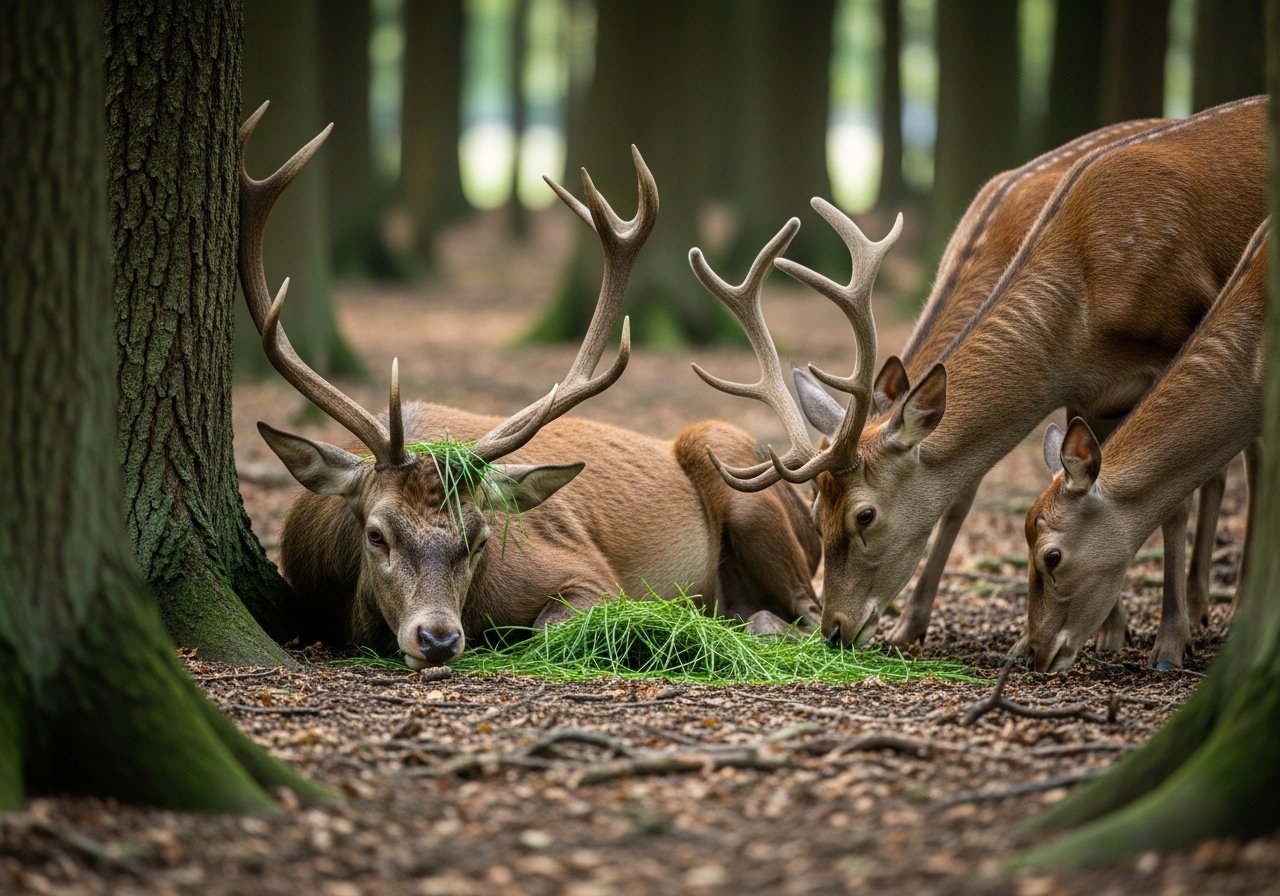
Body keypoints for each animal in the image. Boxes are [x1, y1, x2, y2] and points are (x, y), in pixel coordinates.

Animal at [238, 103, 821, 669]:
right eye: (376, 534)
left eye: (479, 538)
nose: (438, 638)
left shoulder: (591, 574)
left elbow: (548, 627)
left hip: (739, 472)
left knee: (814, 615)